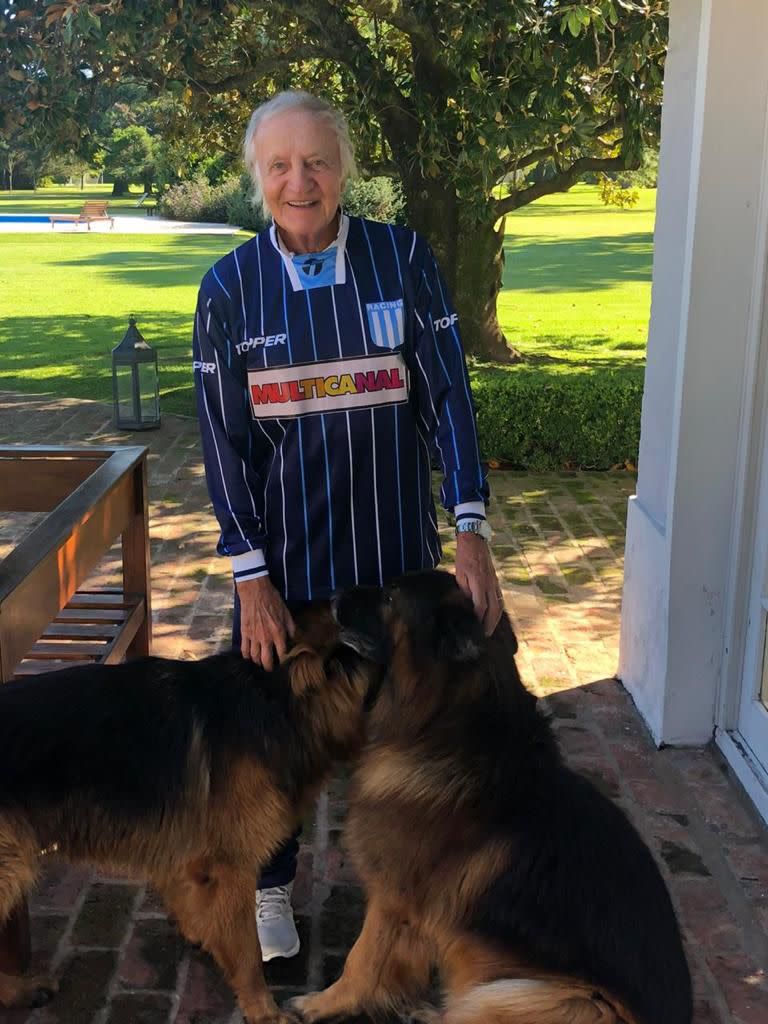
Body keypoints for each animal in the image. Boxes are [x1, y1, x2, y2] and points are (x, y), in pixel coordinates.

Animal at [0, 602, 382, 1024]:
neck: (275, 701)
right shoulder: (234, 870)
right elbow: (247, 953)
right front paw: (263, 1010)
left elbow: (188, 896)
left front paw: (202, 932)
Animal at [290, 569, 696, 1024]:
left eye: (391, 596)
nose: (331, 597)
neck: (449, 731)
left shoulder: (392, 902)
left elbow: (361, 961)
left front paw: (319, 1004)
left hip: (532, 996)